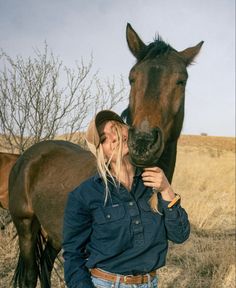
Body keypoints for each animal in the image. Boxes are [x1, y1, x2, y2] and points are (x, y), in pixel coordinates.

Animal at [8, 23, 203, 286]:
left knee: (45, 267)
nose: (143, 142)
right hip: (26, 227)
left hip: (55, 234)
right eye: (132, 78)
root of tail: (27, 156)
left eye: (180, 81)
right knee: (31, 274)